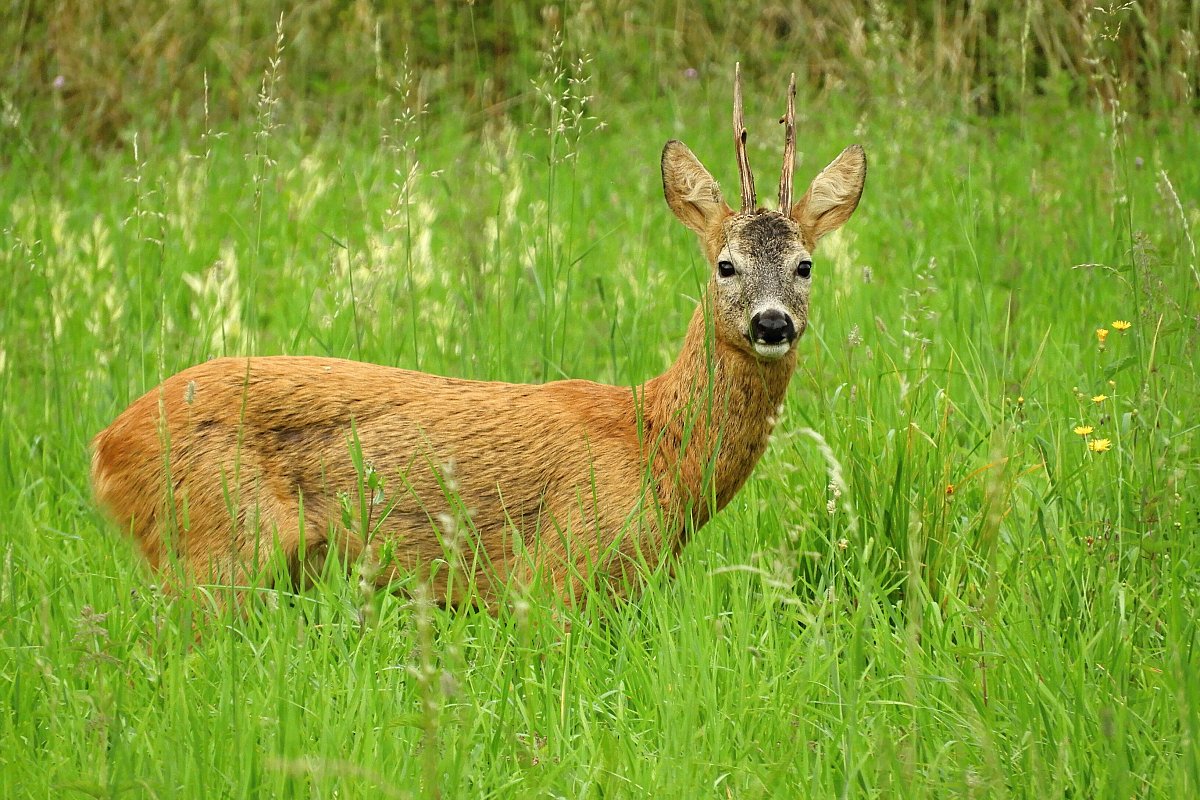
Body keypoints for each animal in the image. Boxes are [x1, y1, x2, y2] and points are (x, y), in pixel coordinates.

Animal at [91, 67, 864, 606]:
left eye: (805, 265)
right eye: (725, 264)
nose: (772, 323)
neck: (655, 446)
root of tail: (106, 446)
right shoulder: (559, 575)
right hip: (215, 550)